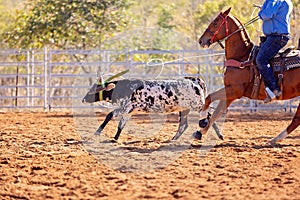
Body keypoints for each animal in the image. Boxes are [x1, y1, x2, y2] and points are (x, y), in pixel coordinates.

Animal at [198, 7, 298, 145]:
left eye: (216, 22)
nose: (201, 40)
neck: (242, 57)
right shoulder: (230, 92)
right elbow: (217, 110)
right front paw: (201, 129)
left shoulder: (235, 90)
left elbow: (209, 100)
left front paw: (202, 121)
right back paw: (274, 139)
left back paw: (274, 139)